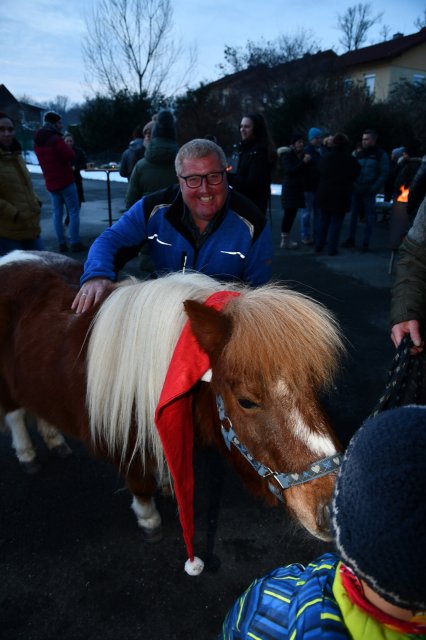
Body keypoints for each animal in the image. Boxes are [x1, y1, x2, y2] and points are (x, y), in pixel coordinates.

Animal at [0, 250, 344, 576]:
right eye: (247, 401)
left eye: (313, 384)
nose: (333, 509)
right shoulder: (124, 443)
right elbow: (139, 484)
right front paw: (149, 518)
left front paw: (167, 483)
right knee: (15, 415)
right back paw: (27, 454)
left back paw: (54, 439)